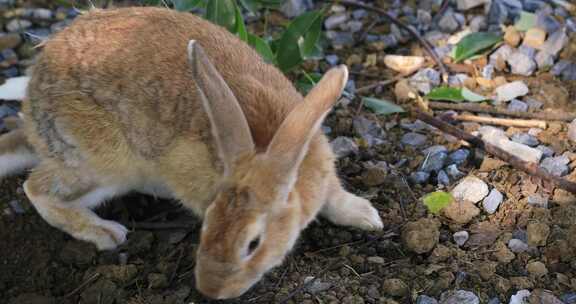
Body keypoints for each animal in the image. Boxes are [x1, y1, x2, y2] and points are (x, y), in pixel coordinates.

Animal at [1, 6, 388, 300]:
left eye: (253, 244)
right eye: (206, 226)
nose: (210, 290)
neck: (269, 153)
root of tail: (32, 117)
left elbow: (335, 197)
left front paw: (367, 217)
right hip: (104, 162)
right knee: (37, 189)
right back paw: (105, 233)